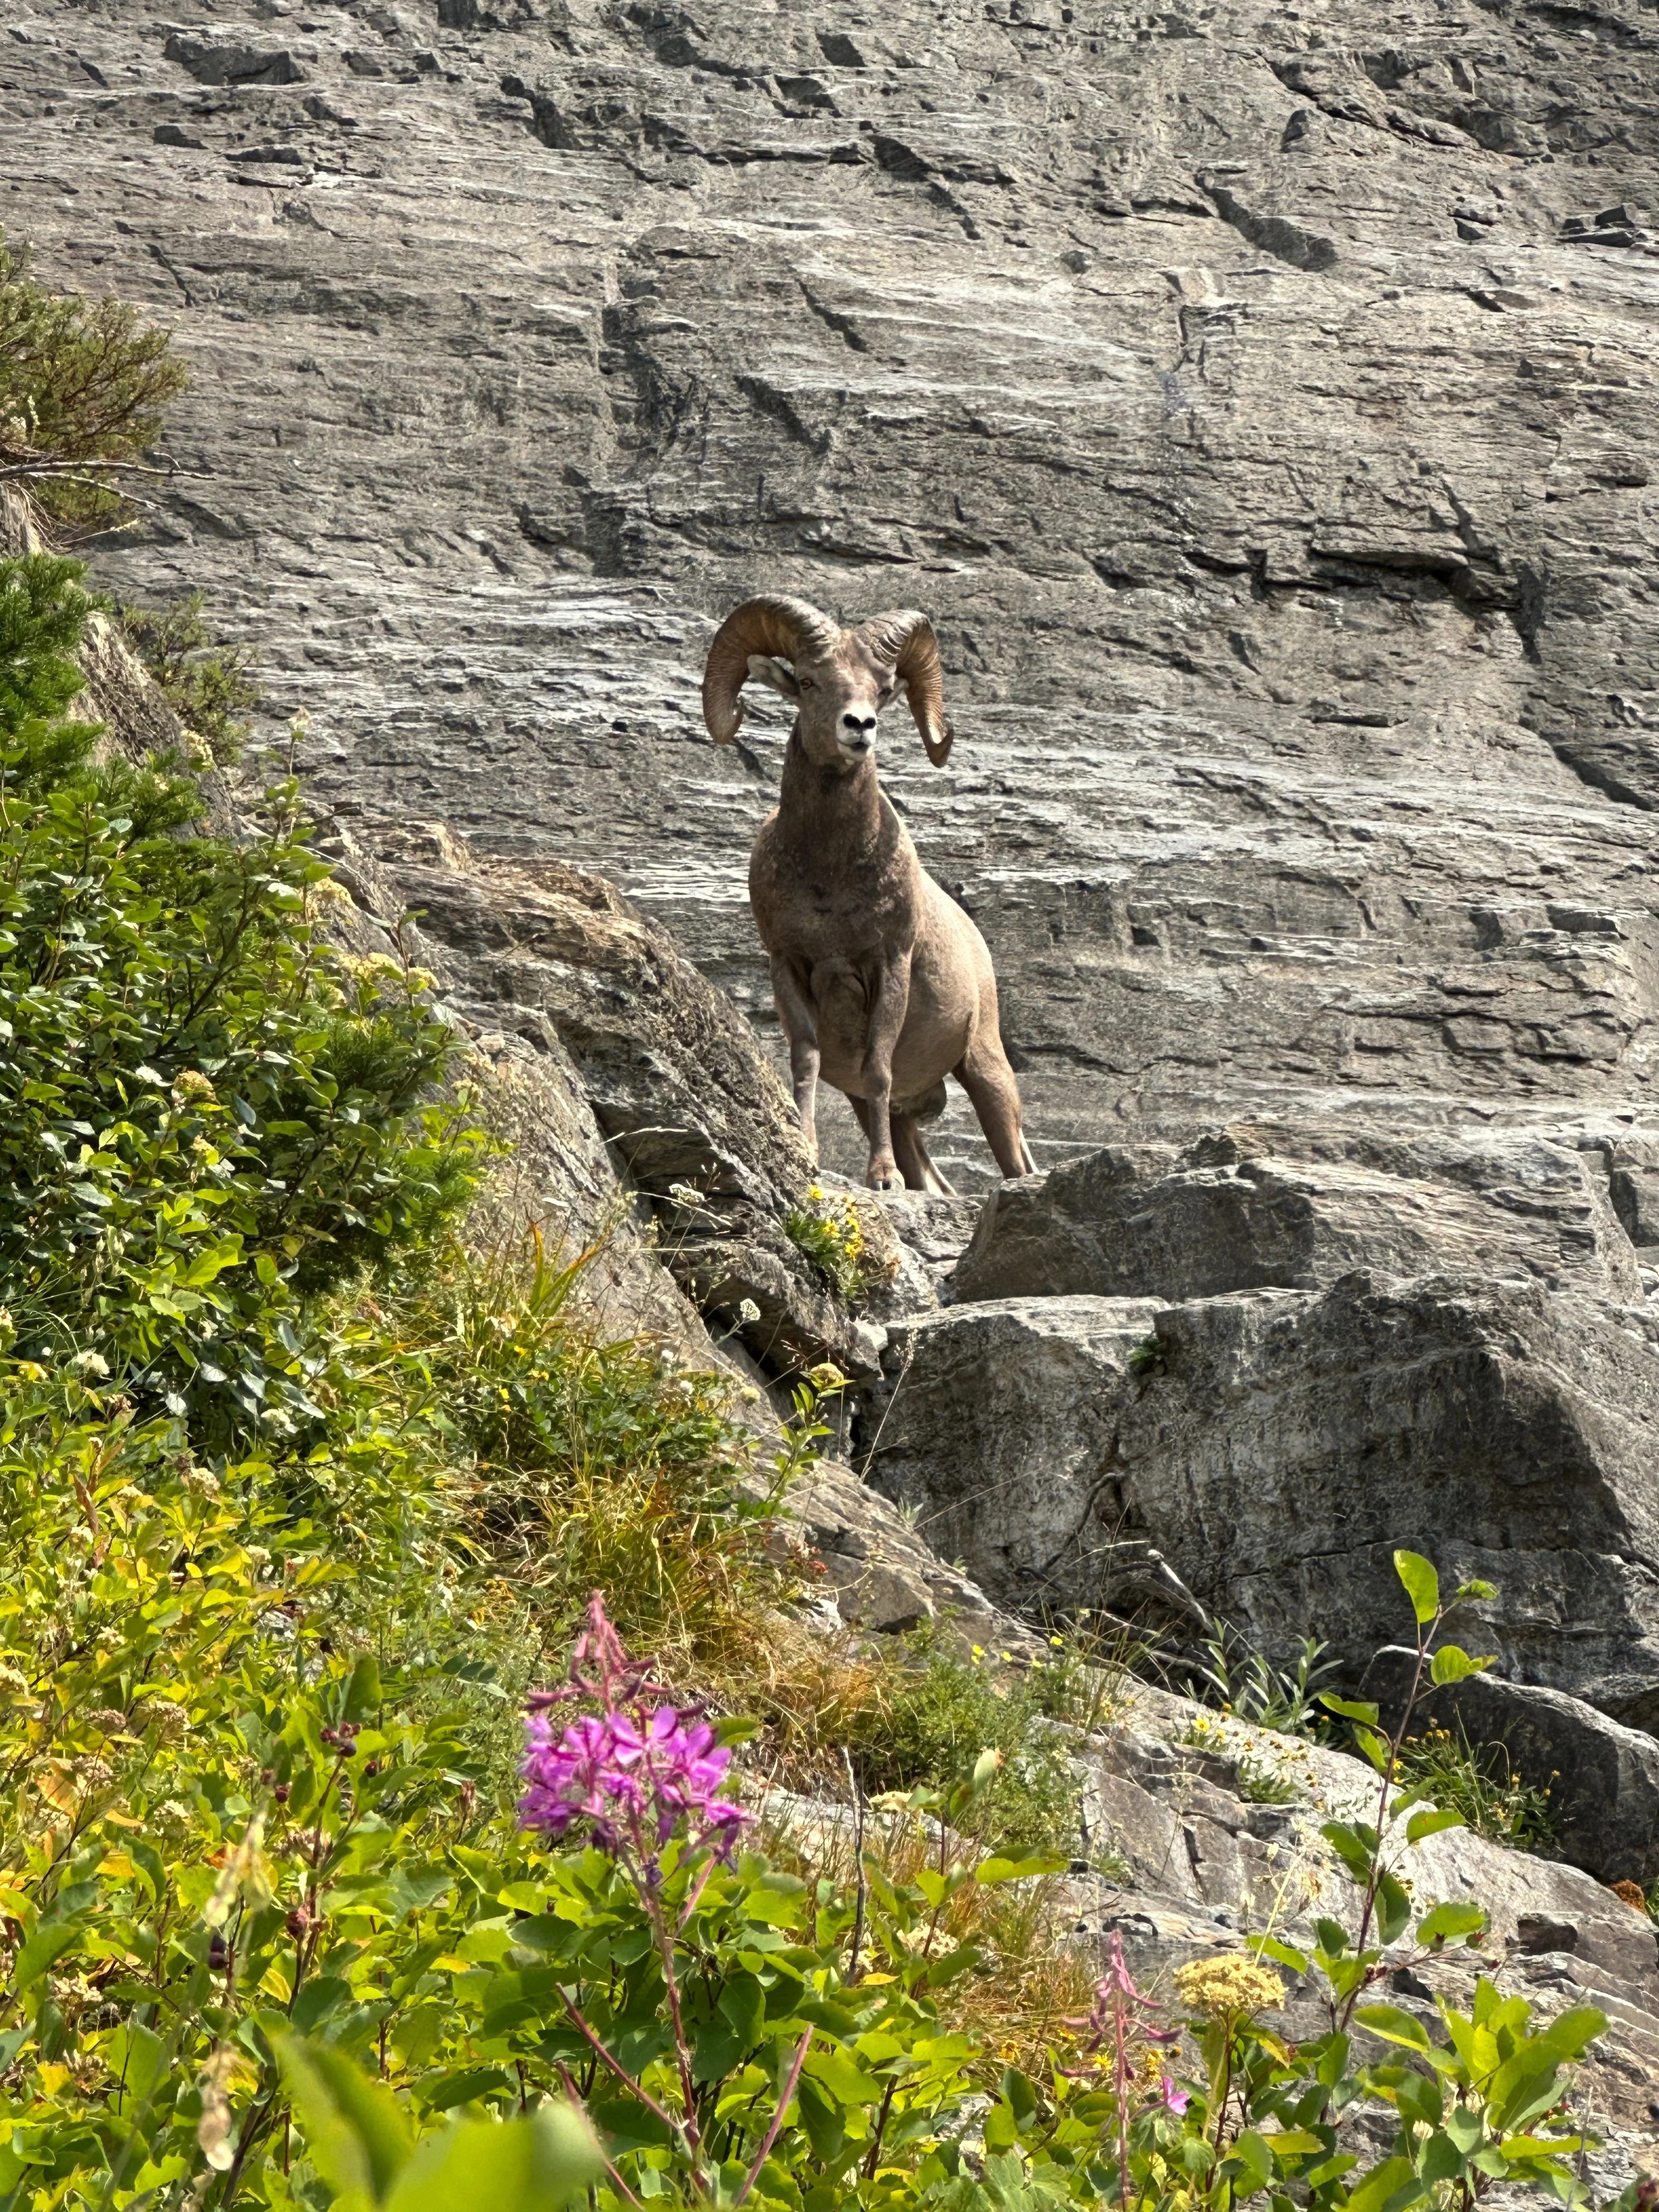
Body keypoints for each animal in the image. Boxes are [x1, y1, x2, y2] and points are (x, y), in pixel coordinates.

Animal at [701, 593, 1036, 1195]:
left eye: (881, 688)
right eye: (808, 681)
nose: (859, 726)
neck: (831, 881)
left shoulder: (888, 967)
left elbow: (879, 1067)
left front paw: (882, 1179)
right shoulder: (789, 967)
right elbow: (806, 1063)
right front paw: (808, 1150)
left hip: (985, 1068)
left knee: (1016, 1162)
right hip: (901, 1109)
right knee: (931, 1177)